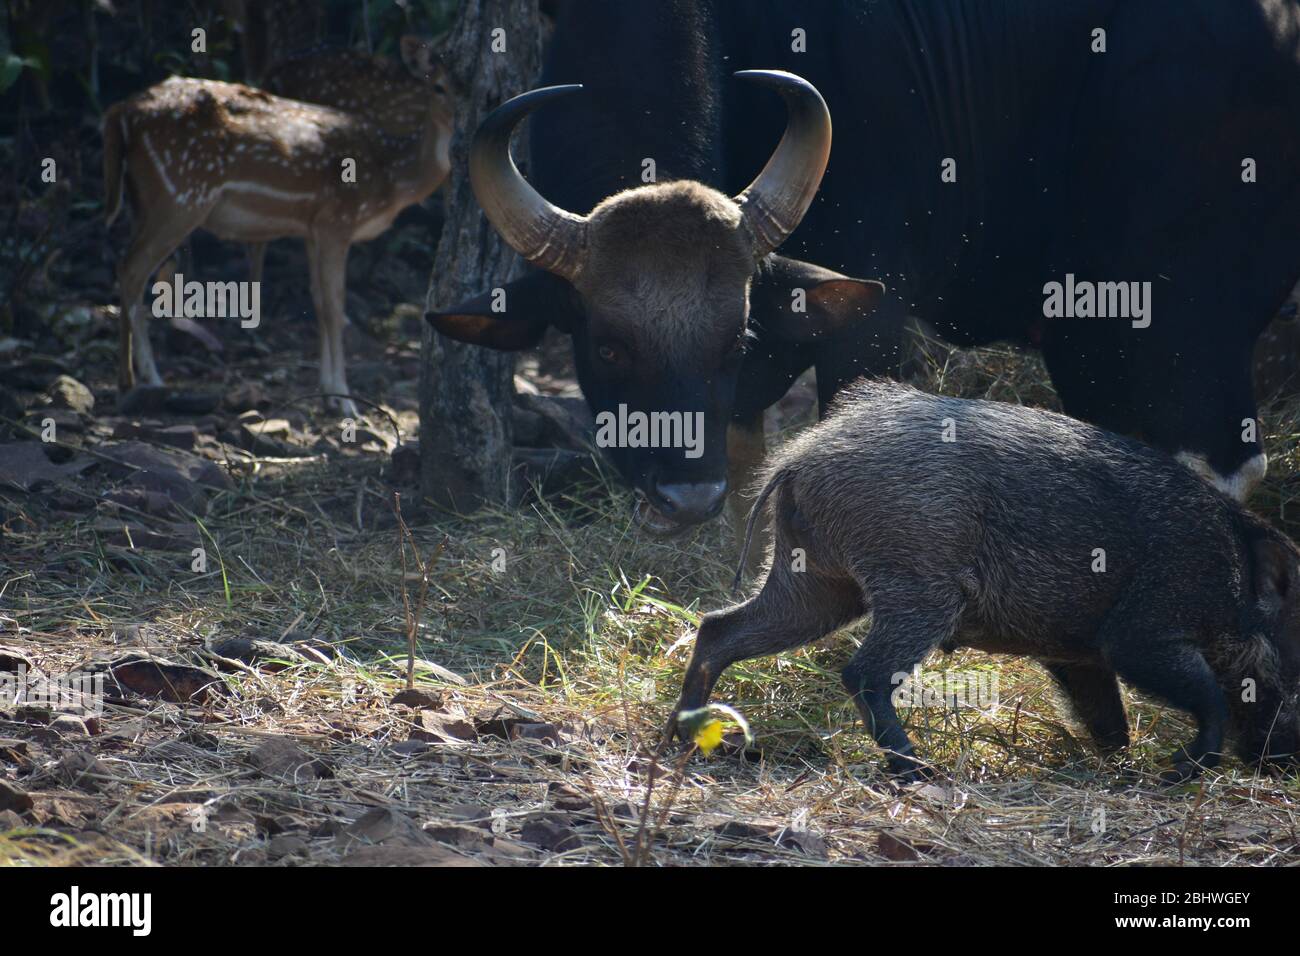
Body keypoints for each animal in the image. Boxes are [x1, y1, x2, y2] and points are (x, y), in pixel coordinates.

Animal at [100, 35, 452, 416]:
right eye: (439, 87)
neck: (392, 180)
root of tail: (120, 112)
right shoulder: (337, 220)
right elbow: (336, 306)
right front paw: (344, 400)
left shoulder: (314, 228)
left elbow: (319, 302)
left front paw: (328, 391)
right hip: (180, 196)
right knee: (132, 269)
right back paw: (140, 380)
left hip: (144, 201)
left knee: (130, 266)